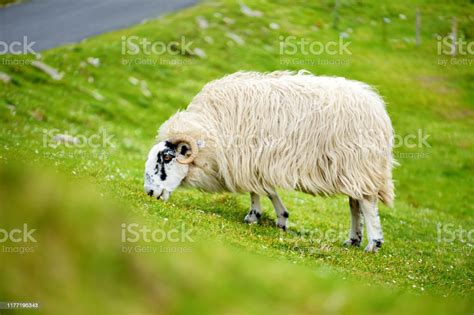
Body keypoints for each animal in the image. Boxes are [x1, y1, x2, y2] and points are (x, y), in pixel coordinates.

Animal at [144, 70, 396, 253]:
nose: (149, 192)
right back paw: (353, 240)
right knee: (355, 204)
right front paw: (279, 218)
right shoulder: (255, 160)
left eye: (166, 157)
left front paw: (255, 216)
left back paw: (373, 243)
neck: (210, 131)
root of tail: (378, 108)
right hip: (351, 170)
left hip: (359, 164)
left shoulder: (246, 158)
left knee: (367, 203)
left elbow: (257, 190)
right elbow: (265, 190)